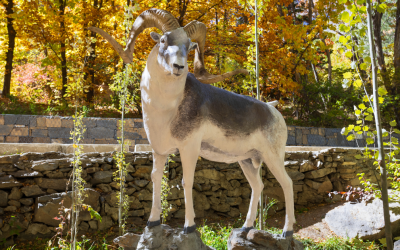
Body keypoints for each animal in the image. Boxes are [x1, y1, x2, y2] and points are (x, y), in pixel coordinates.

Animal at [91, 8, 296, 237]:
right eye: (163, 40)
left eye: (189, 47)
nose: (179, 67)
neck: (167, 109)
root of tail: (273, 110)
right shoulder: (159, 152)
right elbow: (156, 179)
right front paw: (152, 222)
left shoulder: (188, 148)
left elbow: (186, 181)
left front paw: (189, 226)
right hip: (247, 162)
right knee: (258, 186)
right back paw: (246, 226)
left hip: (272, 158)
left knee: (287, 184)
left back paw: (287, 232)